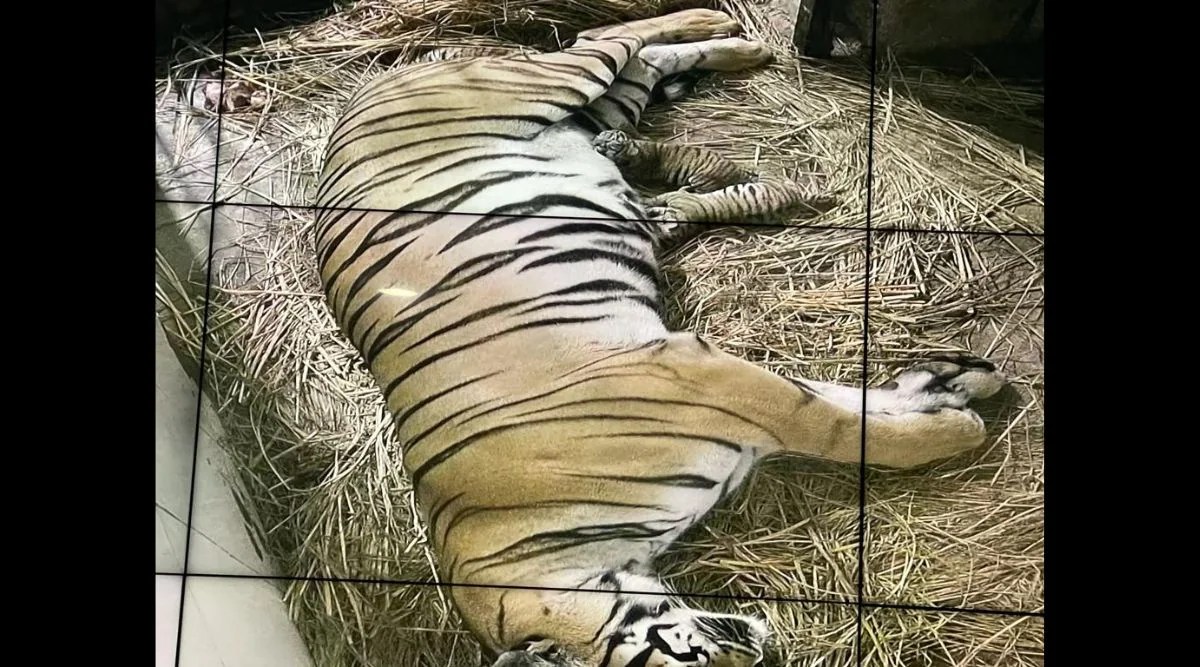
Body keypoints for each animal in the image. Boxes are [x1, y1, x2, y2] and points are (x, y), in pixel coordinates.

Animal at [313, 8, 1007, 667]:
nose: (759, 648)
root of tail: (365, 90)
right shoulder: (724, 395)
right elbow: (847, 406)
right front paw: (954, 393)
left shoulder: (695, 371)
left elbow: (841, 425)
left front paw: (958, 421)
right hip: (596, 111)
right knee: (642, 61)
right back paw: (743, 47)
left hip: (543, 84)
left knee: (606, 37)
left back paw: (725, 26)